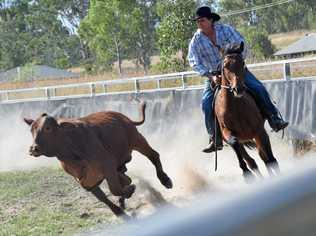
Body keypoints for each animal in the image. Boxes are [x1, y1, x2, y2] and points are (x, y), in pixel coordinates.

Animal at [24, 102, 173, 220]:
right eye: (31, 130)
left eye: (48, 128)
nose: (33, 149)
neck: (72, 151)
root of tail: (122, 116)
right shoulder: (85, 180)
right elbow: (103, 196)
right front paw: (118, 211)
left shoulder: (108, 166)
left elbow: (115, 188)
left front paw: (130, 190)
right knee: (125, 176)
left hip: (137, 139)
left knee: (153, 155)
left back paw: (165, 180)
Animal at [215, 42, 278, 179]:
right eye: (225, 66)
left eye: (242, 62)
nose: (238, 89)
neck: (236, 109)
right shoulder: (227, 133)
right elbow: (234, 143)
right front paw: (245, 171)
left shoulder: (260, 132)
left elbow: (271, 160)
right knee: (252, 161)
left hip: (257, 136)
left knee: (266, 159)